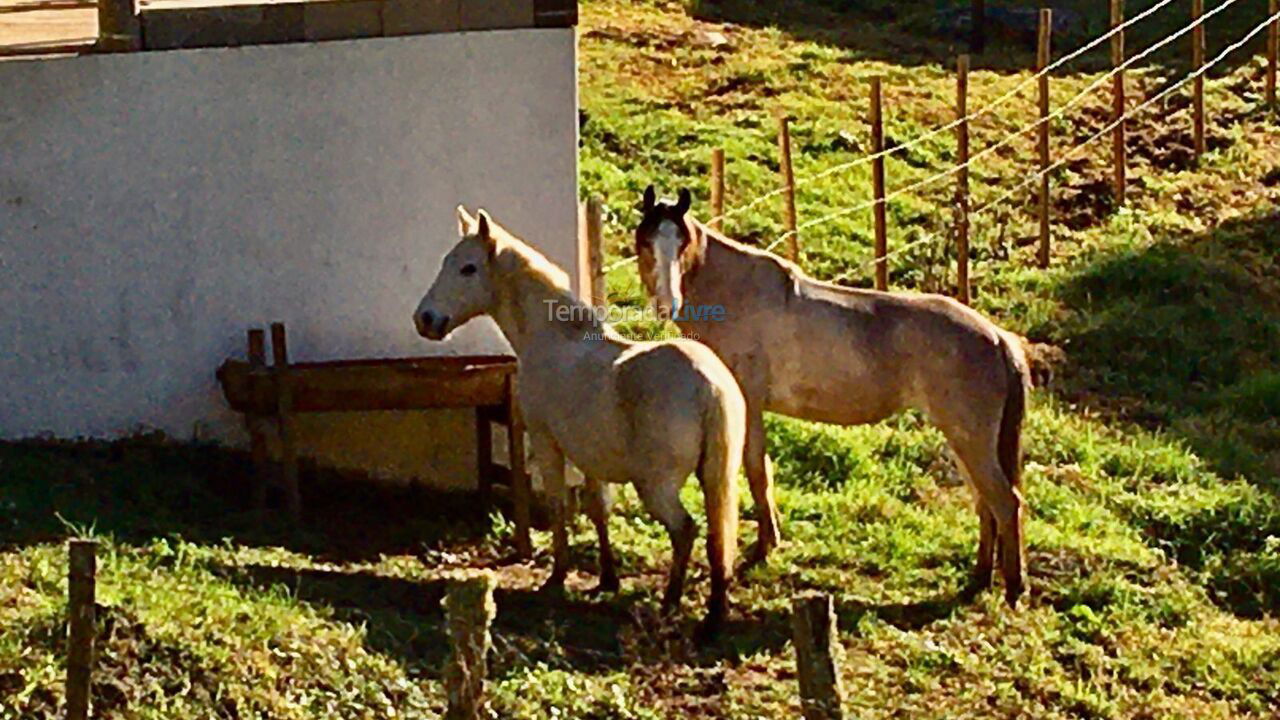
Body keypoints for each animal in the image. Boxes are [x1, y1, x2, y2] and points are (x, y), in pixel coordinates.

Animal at [409, 206, 747, 632]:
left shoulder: (547, 442)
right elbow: (597, 510)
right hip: (716, 478)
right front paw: (607, 578)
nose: (426, 319)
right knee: (719, 540)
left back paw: (670, 603)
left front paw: (556, 578)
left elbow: (558, 506)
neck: (556, 338)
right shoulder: (590, 455)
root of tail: (708, 383)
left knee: (686, 531)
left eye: (468, 268)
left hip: (657, 487)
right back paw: (714, 616)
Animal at [634, 185, 1034, 604]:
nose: (666, 303)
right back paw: (978, 580)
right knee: (985, 502)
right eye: (647, 241)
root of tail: (998, 338)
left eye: (681, 244)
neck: (735, 295)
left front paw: (765, 545)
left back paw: (1013, 589)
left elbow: (758, 471)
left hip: (970, 439)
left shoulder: (750, 404)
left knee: (1005, 502)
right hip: (965, 441)